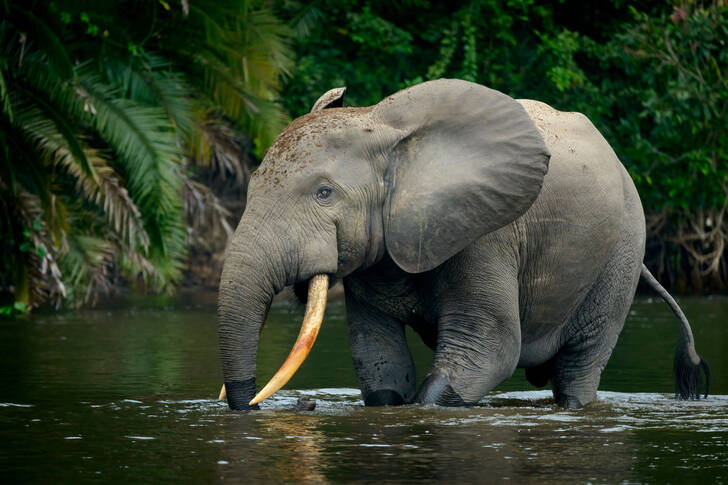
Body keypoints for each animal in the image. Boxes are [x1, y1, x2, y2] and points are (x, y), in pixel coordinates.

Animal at [219, 78, 708, 408]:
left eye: (324, 193)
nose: (251, 405)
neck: (382, 125)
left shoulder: (487, 234)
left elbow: (489, 350)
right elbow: (379, 358)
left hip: (621, 252)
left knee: (579, 369)